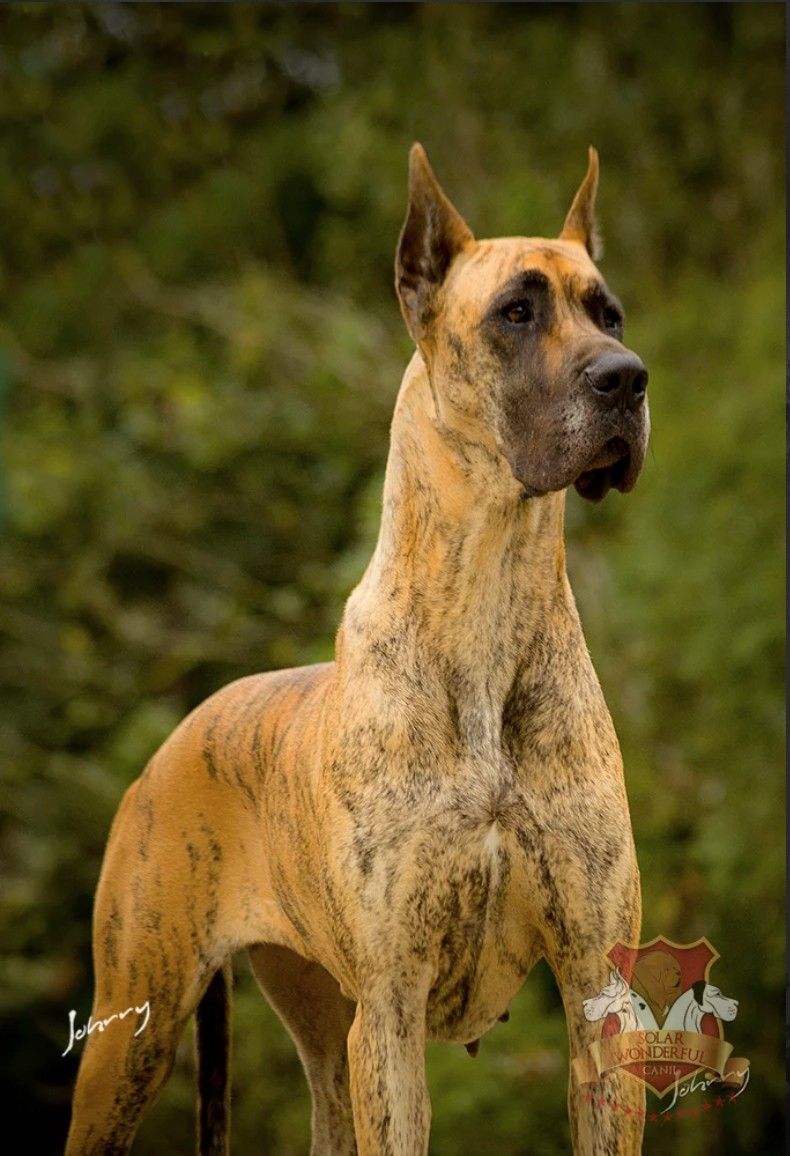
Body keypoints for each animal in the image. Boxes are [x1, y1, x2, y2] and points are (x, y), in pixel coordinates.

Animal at [66, 143, 650, 1155]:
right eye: (517, 311)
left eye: (607, 312)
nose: (629, 376)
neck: (488, 592)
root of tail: (175, 740)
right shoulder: (390, 1012)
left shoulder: (596, 994)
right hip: (130, 1034)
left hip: (317, 1028)